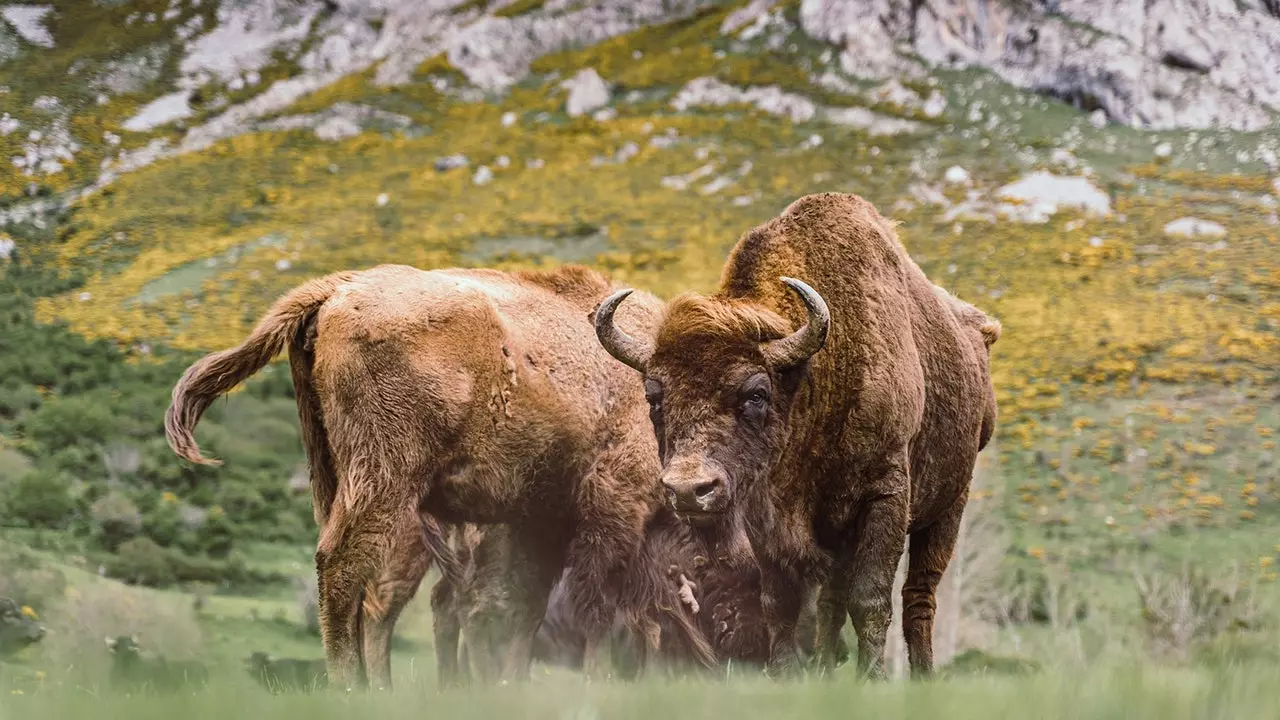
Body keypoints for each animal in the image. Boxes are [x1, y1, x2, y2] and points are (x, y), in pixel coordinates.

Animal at [162, 262, 711, 681]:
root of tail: (337, 290)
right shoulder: (614, 509)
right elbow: (601, 612)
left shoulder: (539, 521)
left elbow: (522, 611)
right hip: (384, 482)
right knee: (347, 572)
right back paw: (356, 690)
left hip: (340, 480)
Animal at [588, 192, 998, 676]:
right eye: (653, 395)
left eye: (756, 393)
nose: (689, 490)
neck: (815, 376)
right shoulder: (767, 520)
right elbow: (781, 602)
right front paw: (788, 673)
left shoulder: (886, 496)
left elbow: (871, 599)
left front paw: (874, 677)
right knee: (833, 601)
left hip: (949, 508)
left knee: (919, 595)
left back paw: (921, 675)